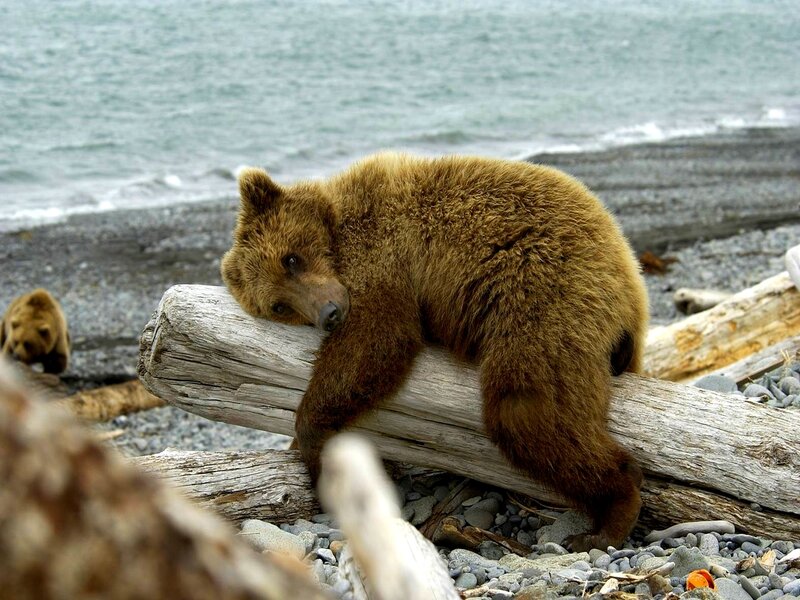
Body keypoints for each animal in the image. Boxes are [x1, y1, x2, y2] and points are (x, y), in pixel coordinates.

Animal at [221, 152, 649, 551]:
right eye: (279, 306)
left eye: (290, 259)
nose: (329, 314)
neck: (338, 225)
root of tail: (629, 274)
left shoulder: (381, 251)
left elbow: (378, 340)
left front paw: (310, 442)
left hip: (547, 292)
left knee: (526, 408)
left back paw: (609, 515)